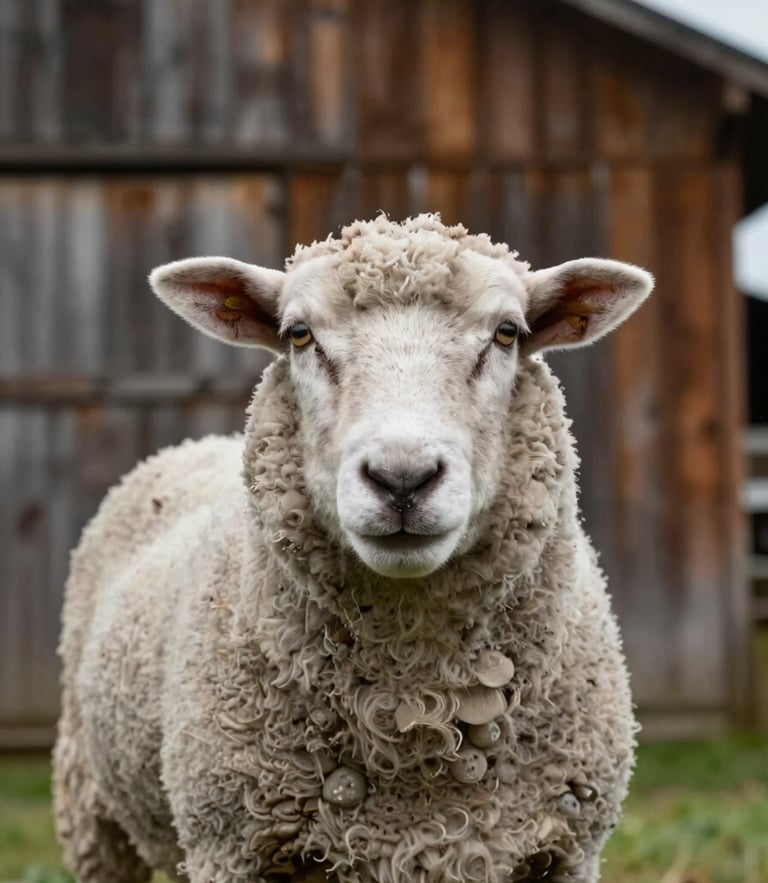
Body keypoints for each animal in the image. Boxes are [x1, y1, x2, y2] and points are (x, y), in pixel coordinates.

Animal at [54, 214, 653, 883]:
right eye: (298, 334)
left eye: (506, 334)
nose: (402, 478)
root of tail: (188, 444)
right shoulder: (228, 848)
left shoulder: (568, 853)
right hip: (93, 806)